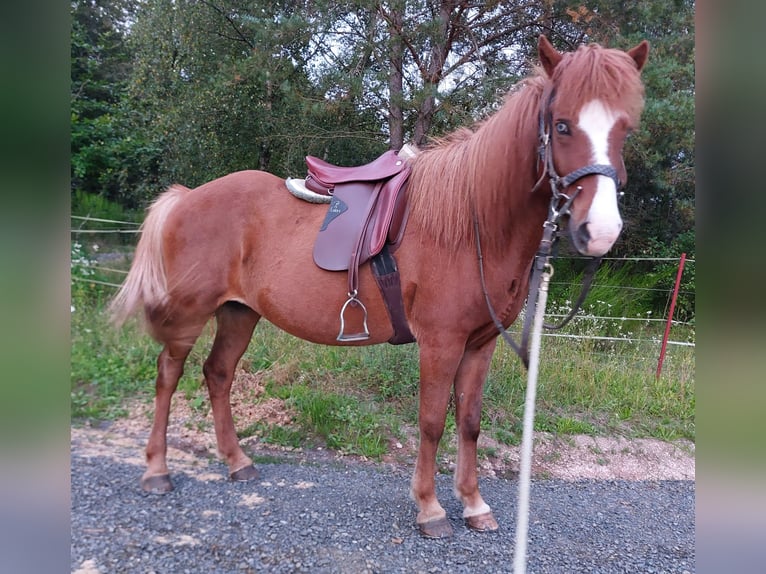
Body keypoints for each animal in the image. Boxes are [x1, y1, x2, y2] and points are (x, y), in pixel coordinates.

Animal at [109, 36, 648, 540]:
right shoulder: (440, 342)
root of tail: (186, 198)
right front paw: (430, 509)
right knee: (168, 375)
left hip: (240, 312)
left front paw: (474, 504)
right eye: (562, 125)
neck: (472, 222)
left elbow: (469, 423)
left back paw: (238, 463)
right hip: (189, 313)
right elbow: (431, 422)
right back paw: (157, 470)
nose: (600, 231)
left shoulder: (481, 344)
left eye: (626, 128)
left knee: (218, 374)